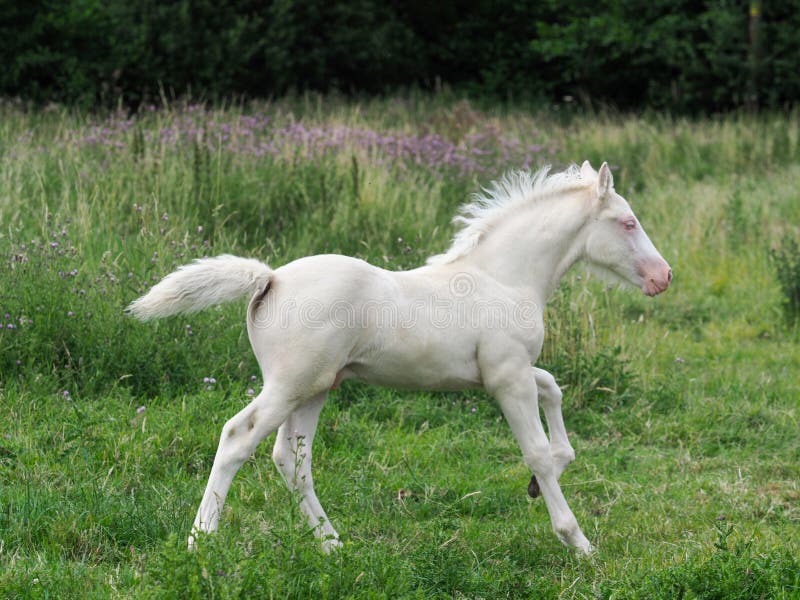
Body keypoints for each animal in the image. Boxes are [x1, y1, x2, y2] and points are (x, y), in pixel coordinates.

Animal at [130, 159, 668, 552]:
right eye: (628, 222)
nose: (663, 277)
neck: (503, 277)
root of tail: (271, 278)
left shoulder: (504, 372)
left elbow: (553, 388)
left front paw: (549, 473)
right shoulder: (507, 379)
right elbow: (533, 448)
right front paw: (577, 541)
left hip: (315, 387)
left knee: (292, 460)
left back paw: (331, 545)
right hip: (288, 385)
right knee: (237, 437)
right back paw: (201, 541)